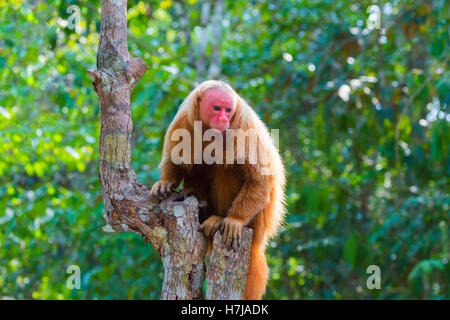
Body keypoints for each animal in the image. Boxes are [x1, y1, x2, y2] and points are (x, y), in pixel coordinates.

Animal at [149, 80, 286, 300]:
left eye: (228, 110)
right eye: (216, 108)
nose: (223, 119)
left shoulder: (245, 126)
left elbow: (260, 180)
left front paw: (234, 219)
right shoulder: (183, 120)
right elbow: (175, 159)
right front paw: (165, 181)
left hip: (256, 223)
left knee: (226, 165)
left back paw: (219, 219)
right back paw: (196, 198)